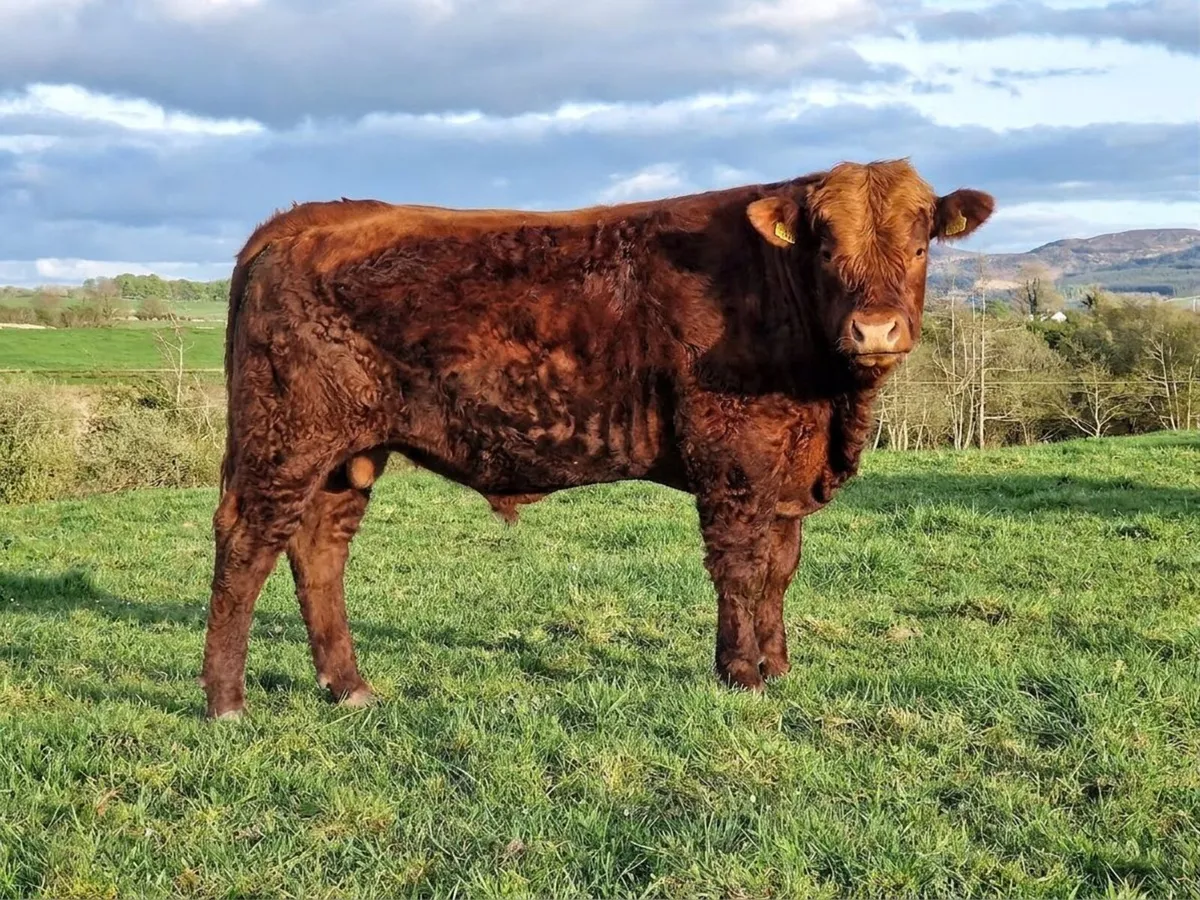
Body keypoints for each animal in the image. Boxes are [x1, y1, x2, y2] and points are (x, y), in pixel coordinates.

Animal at [199, 158, 994, 719]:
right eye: (826, 248)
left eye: (920, 245)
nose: (875, 330)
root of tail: (301, 220)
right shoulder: (733, 459)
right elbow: (740, 568)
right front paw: (742, 676)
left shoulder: (784, 471)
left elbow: (779, 569)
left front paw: (778, 665)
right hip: (287, 438)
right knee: (247, 544)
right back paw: (226, 703)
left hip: (346, 455)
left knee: (318, 550)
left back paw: (349, 687)